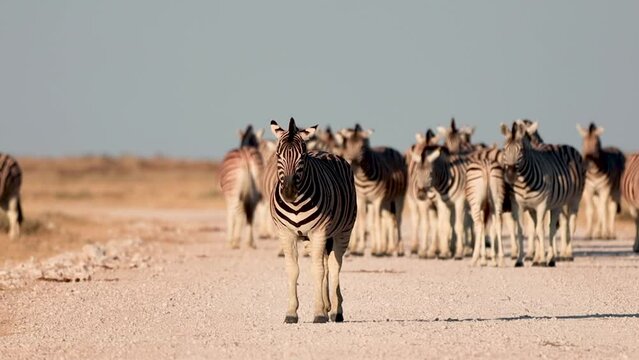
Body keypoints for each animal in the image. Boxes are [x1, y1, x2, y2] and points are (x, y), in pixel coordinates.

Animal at [272, 118, 360, 324]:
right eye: (278, 155)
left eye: (302, 157)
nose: (289, 192)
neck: (296, 204)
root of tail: (325, 151)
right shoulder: (286, 234)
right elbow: (293, 270)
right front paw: (291, 313)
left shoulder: (319, 232)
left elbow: (317, 270)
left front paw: (319, 312)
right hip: (311, 240)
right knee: (327, 265)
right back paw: (329, 306)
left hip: (343, 231)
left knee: (334, 266)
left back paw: (335, 310)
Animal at [342, 124, 408, 256]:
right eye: (347, 145)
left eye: (362, 147)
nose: (352, 164)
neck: (363, 177)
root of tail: (389, 148)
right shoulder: (362, 199)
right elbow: (362, 223)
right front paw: (360, 249)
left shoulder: (377, 200)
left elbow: (375, 223)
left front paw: (376, 250)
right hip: (386, 201)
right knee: (388, 219)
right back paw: (389, 248)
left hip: (399, 196)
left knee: (397, 219)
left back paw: (399, 249)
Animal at [502, 122, 588, 266]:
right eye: (504, 150)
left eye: (521, 151)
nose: (510, 176)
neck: (524, 183)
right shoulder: (519, 206)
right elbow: (522, 230)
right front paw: (520, 260)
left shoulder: (541, 205)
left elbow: (540, 231)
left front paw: (542, 260)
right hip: (554, 206)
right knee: (550, 227)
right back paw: (546, 258)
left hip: (573, 200)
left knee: (566, 225)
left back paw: (562, 256)